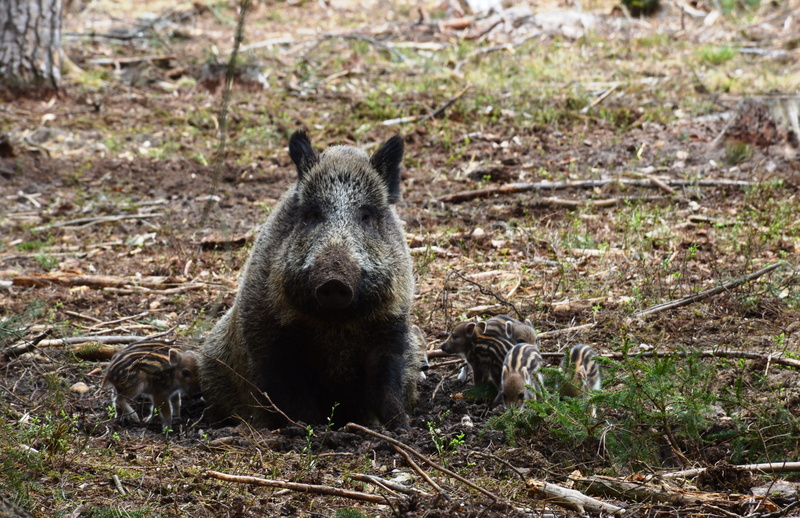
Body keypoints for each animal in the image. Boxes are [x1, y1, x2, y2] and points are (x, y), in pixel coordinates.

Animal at [199, 131, 416, 430]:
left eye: (365, 216)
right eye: (313, 214)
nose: (334, 280)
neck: (335, 325)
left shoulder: (392, 327)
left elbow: (388, 388)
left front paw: (402, 430)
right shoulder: (268, 338)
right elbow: (292, 396)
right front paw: (313, 430)